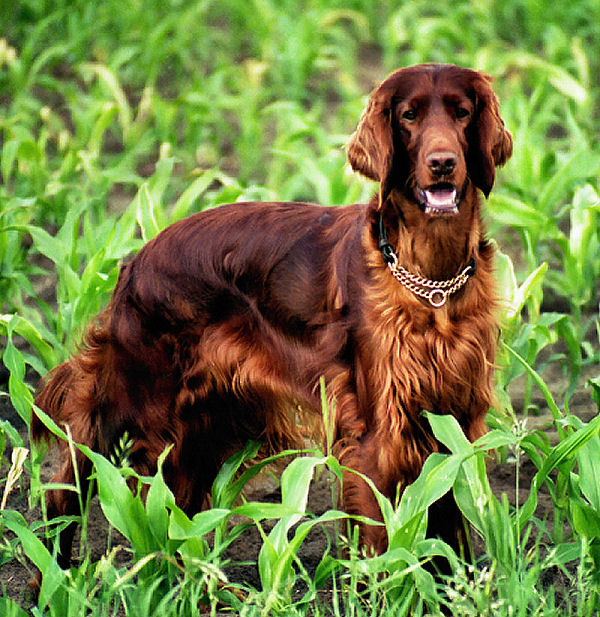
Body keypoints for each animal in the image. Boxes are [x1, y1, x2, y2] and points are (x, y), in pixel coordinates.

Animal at [32, 63, 510, 564]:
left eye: (461, 112)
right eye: (409, 115)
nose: (442, 163)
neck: (432, 286)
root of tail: (135, 261)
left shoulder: (455, 424)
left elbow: (451, 526)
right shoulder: (377, 435)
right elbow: (381, 540)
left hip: (201, 427)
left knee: (171, 515)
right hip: (146, 410)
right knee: (79, 492)